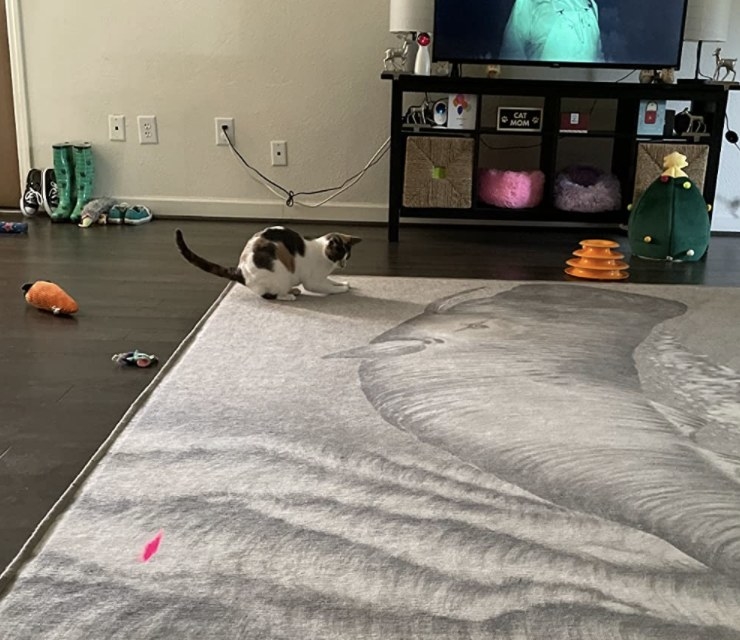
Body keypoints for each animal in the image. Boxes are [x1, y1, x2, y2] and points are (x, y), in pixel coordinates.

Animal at [173, 226, 358, 302]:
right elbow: (329, 288)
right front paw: (342, 289)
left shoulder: (322, 277)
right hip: (280, 276)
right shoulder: (313, 282)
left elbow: (331, 281)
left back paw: (293, 290)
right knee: (269, 295)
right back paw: (289, 295)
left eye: (347, 257)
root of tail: (240, 270)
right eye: (339, 255)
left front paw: (343, 282)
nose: (343, 265)